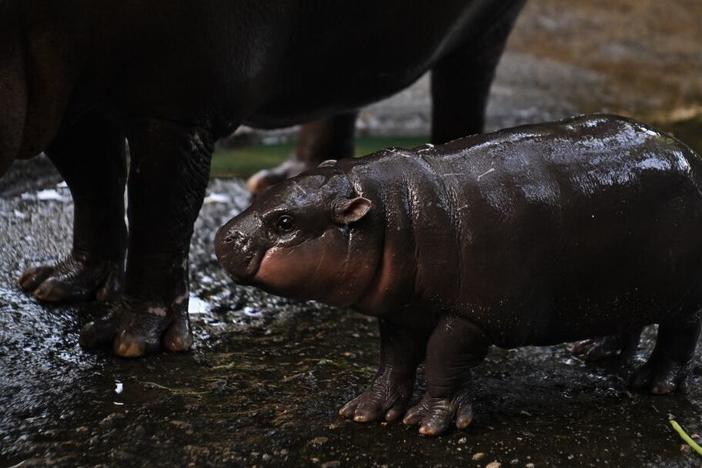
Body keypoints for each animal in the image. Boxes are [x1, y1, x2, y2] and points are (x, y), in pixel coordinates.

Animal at [0, 1, 524, 356]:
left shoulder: (175, 107)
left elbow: (158, 211)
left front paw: (127, 341)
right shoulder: (63, 99)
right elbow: (95, 186)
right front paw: (56, 285)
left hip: (487, 26)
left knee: (463, 89)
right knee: (339, 94)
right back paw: (282, 178)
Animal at [214, 115, 702, 436]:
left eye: (284, 223)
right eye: (268, 189)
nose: (223, 237)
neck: (394, 214)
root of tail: (686, 151)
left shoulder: (473, 315)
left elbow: (442, 356)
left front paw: (428, 423)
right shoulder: (403, 310)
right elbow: (394, 359)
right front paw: (364, 411)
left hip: (680, 295)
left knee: (680, 335)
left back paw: (653, 384)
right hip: (624, 280)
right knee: (629, 320)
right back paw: (594, 353)